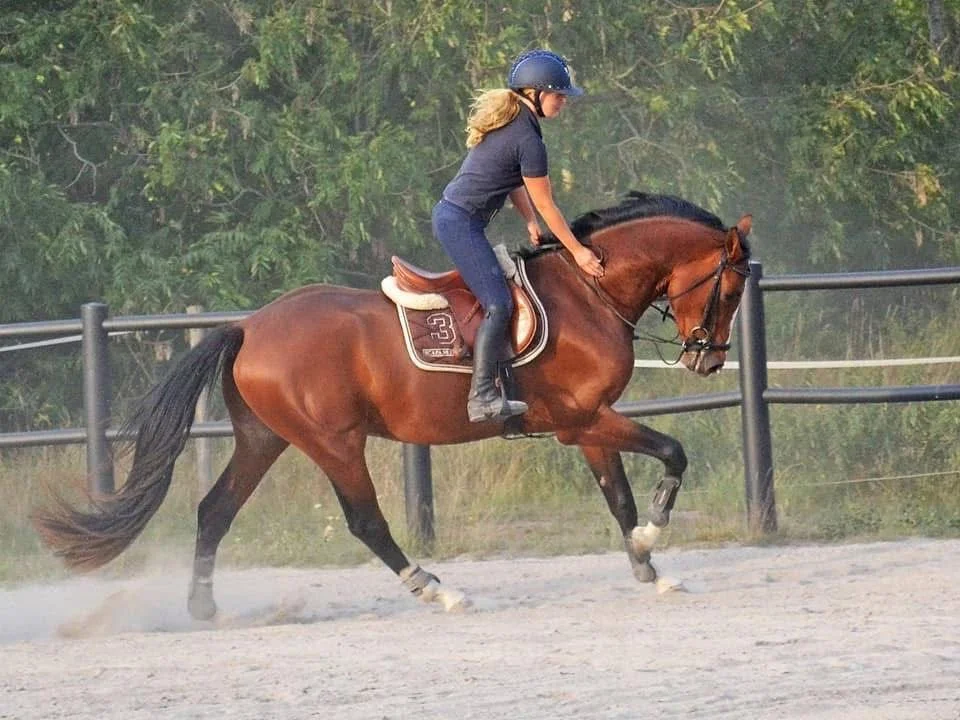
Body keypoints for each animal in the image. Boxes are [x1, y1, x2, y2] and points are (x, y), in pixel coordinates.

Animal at [33, 192, 752, 617]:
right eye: (731, 286)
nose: (708, 358)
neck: (588, 291)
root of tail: (250, 326)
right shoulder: (582, 420)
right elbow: (672, 452)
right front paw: (653, 539)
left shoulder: (587, 426)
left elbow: (619, 497)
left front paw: (648, 566)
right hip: (334, 442)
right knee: (366, 522)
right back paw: (437, 589)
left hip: (265, 438)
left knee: (214, 511)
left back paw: (203, 608)